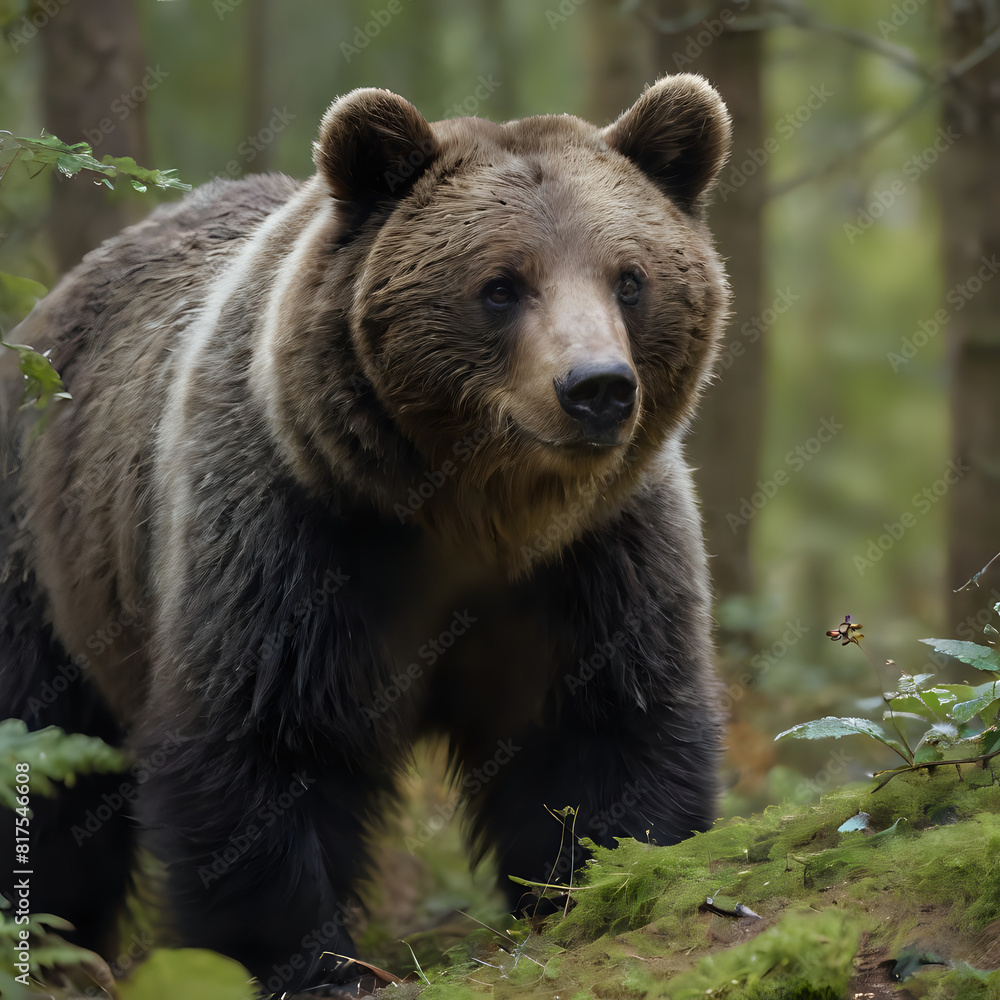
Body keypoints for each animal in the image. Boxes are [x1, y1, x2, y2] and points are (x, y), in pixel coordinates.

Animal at [0, 74, 731, 994]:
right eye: (501, 284)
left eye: (630, 279)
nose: (596, 387)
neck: (475, 513)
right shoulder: (294, 532)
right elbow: (265, 741)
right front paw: (310, 958)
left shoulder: (594, 556)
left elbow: (607, 727)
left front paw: (606, 879)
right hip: (44, 551)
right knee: (44, 758)